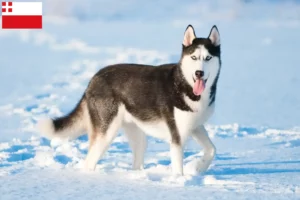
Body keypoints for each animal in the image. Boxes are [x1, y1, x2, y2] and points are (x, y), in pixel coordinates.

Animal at [37, 24, 220, 175]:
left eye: (208, 58)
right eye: (194, 57)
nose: (199, 73)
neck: (184, 84)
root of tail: (94, 78)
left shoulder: (196, 127)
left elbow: (212, 149)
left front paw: (199, 167)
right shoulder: (177, 137)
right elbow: (178, 169)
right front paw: (181, 181)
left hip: (137, 134)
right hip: (106, 133)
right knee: (89, 162)